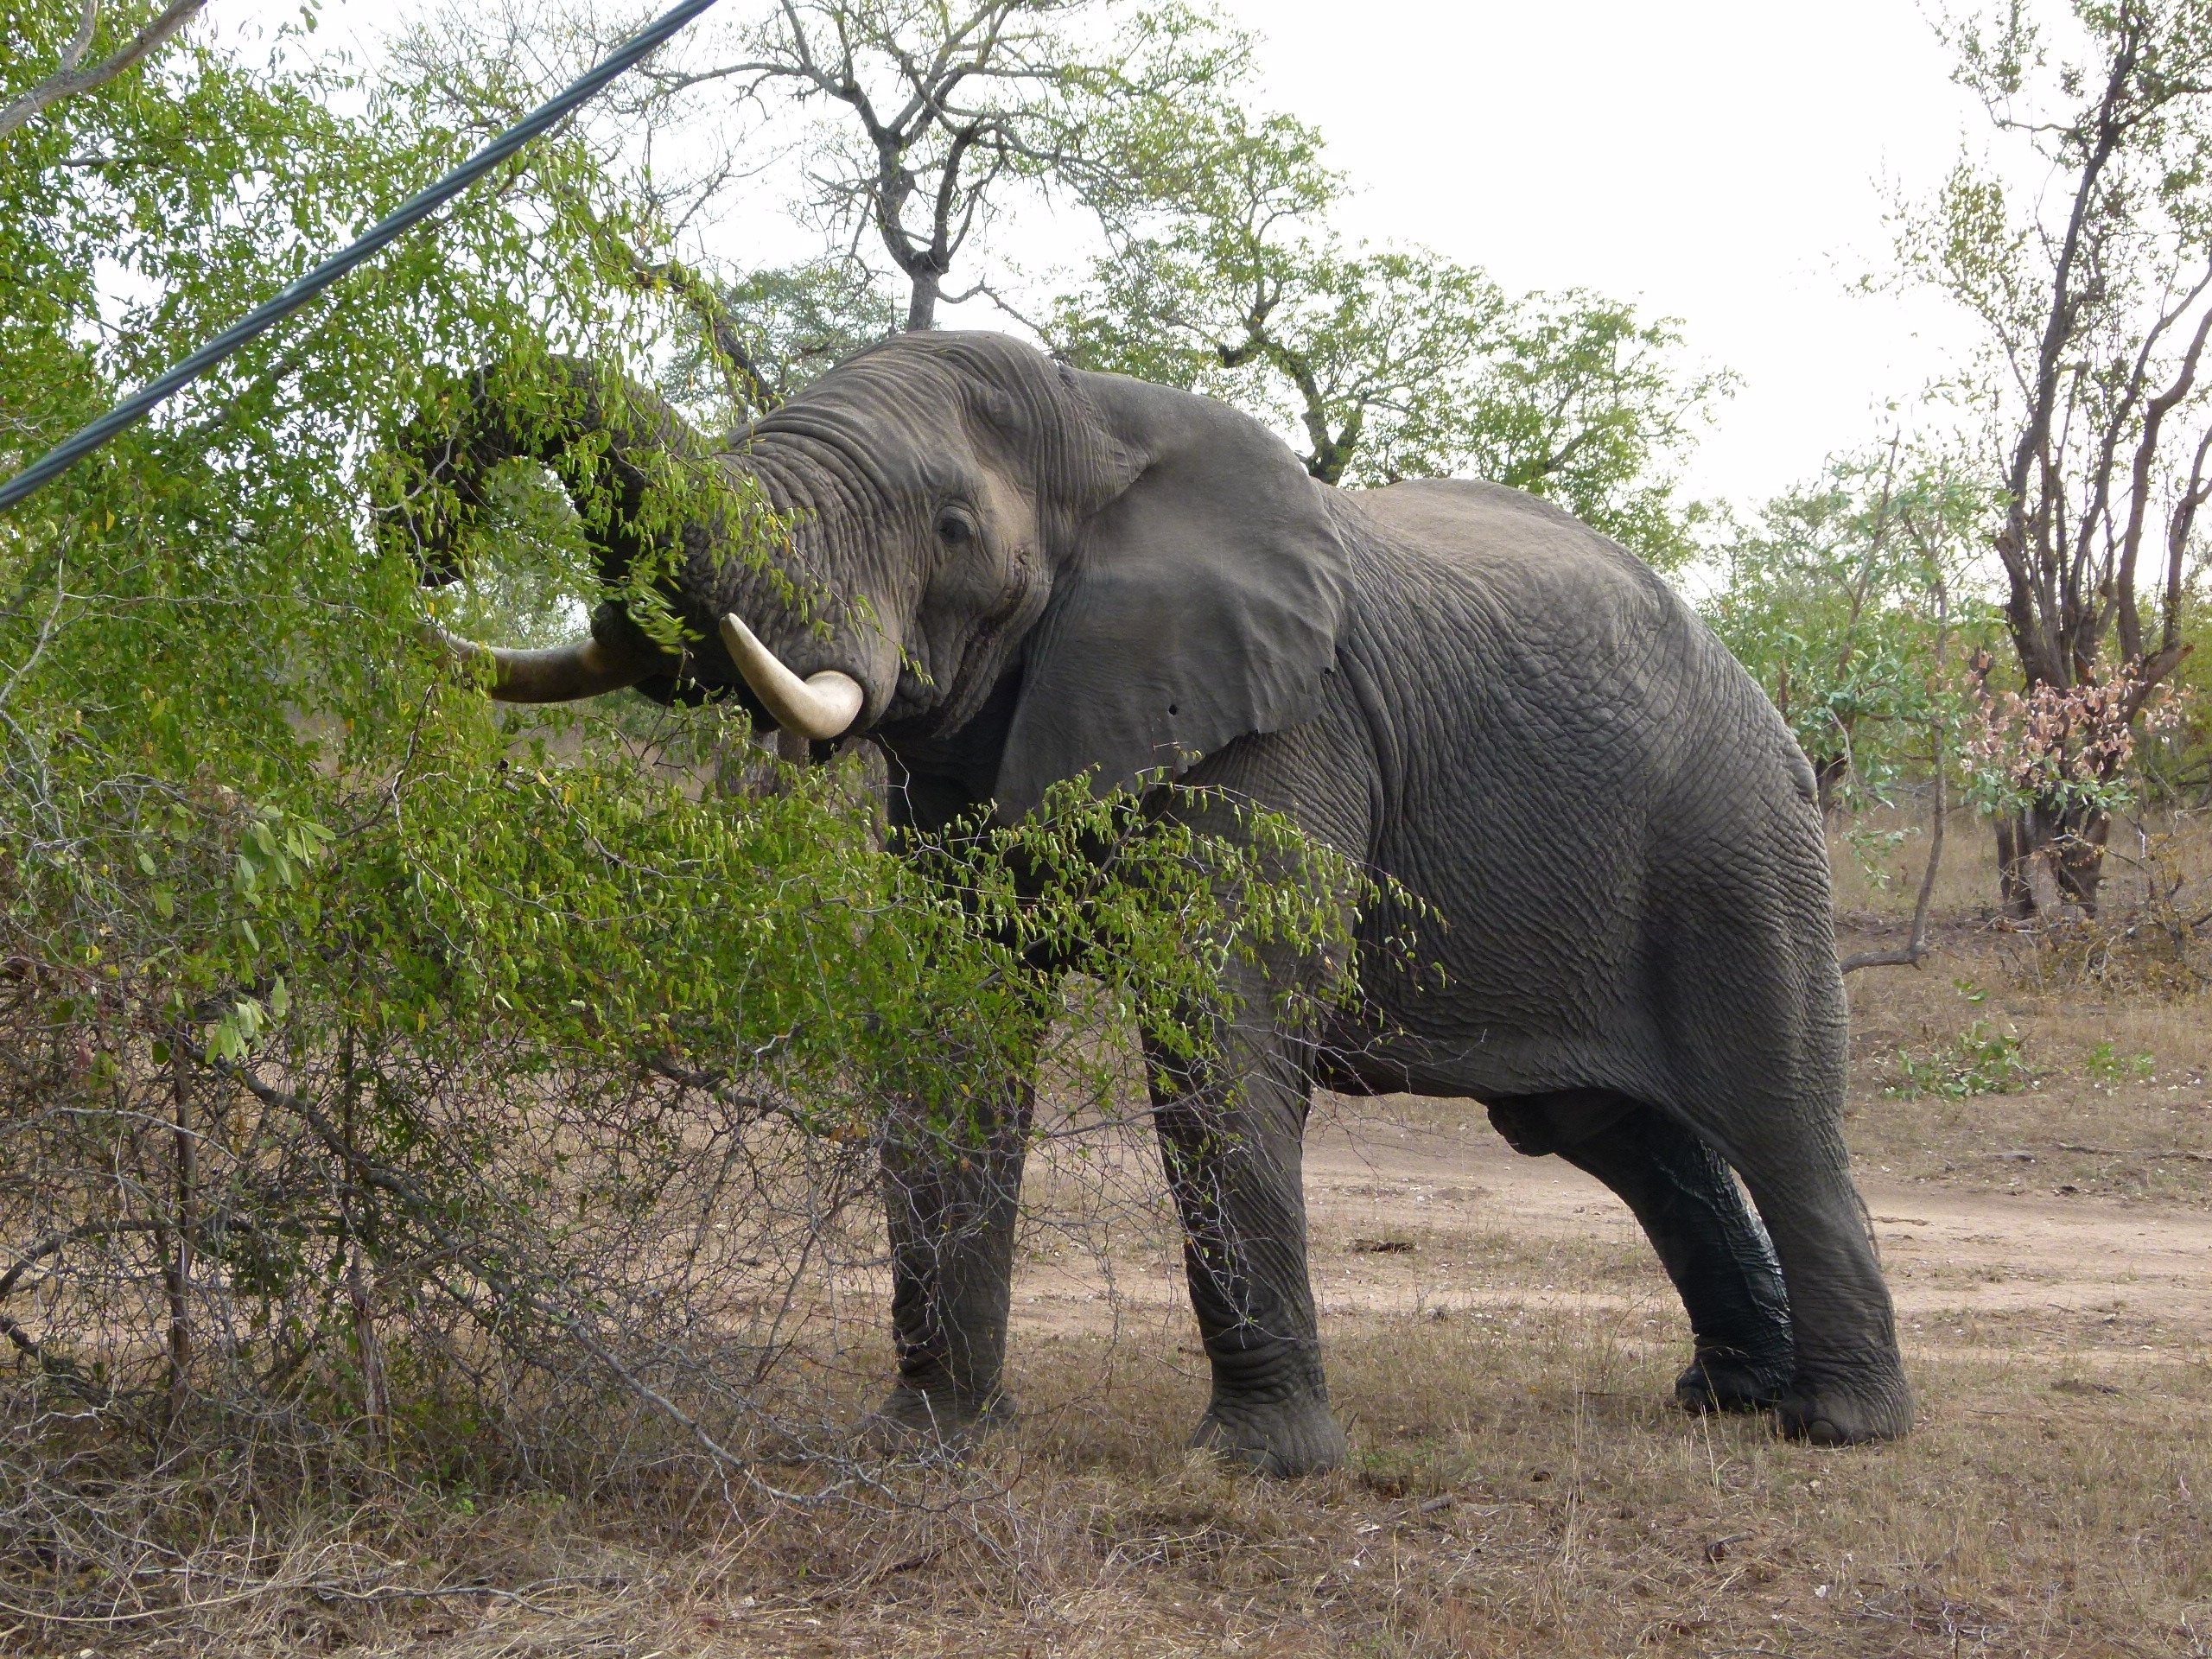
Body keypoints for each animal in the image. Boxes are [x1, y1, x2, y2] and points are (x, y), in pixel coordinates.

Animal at [416, 332, 1920, 1478]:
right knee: (1612, 1130)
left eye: (952, 527)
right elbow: (955, 1031)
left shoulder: (1287, 728)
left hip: (1740, 848)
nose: (428, 549)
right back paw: (1725, 1401)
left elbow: (1214, 1029)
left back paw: (1839, 1429)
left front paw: (1260, 1469)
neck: (1097, 413)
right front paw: (922, 1442)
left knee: (1780, 1118)